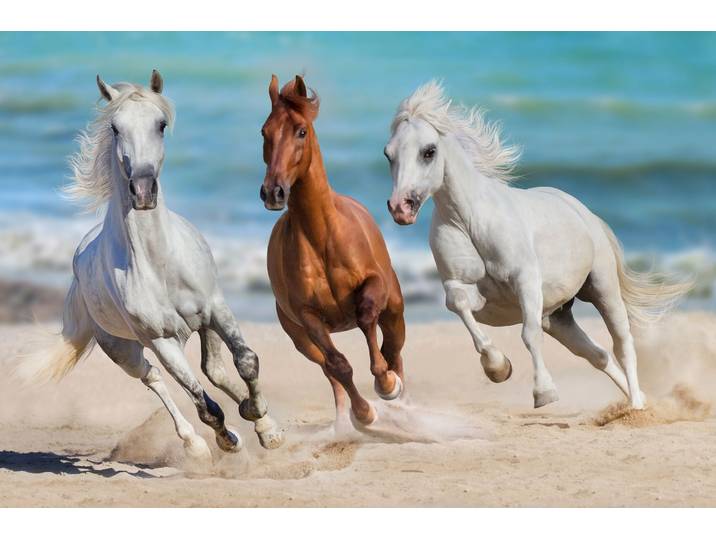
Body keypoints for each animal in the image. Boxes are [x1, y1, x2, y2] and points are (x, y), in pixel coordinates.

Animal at [18, 71, 283, 462]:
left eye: (161, 124)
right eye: (115, 128)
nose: (143, 191)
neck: (160, 263)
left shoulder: (215, 308)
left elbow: (246, 360)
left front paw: (264, 424)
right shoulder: (161, 340)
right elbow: (203, 403)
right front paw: (228, 440)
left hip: (200, 326)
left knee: (214, 370)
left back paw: (260, 422)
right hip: (122, 349)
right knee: (153, 378)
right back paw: (196, 444)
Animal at [260, 75, 406, 432]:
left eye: (301, 131)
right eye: (264, 132)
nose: (273, 192)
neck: (321, 236)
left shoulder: (374, 286)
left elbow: (367, 318)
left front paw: (386, 384)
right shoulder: (309, 318)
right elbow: (339, 365)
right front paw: (364, 414)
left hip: (395, 310)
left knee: (394, 348)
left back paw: (400, 395)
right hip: (300, 339)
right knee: (329, 369)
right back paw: (345, 419)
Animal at [385, 81, 690, 410]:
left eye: (429, 151)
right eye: (389, 154)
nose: (400, 208)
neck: (470, 222)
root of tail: (585, 213)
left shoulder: (526, 281)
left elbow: (528, 335)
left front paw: (544, 393)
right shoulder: (461, 287)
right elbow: (460, 305)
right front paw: (498, 368)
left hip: (603, 288)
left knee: (622, 344)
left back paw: (636, 406)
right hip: (557, 317)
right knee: (597, 354)